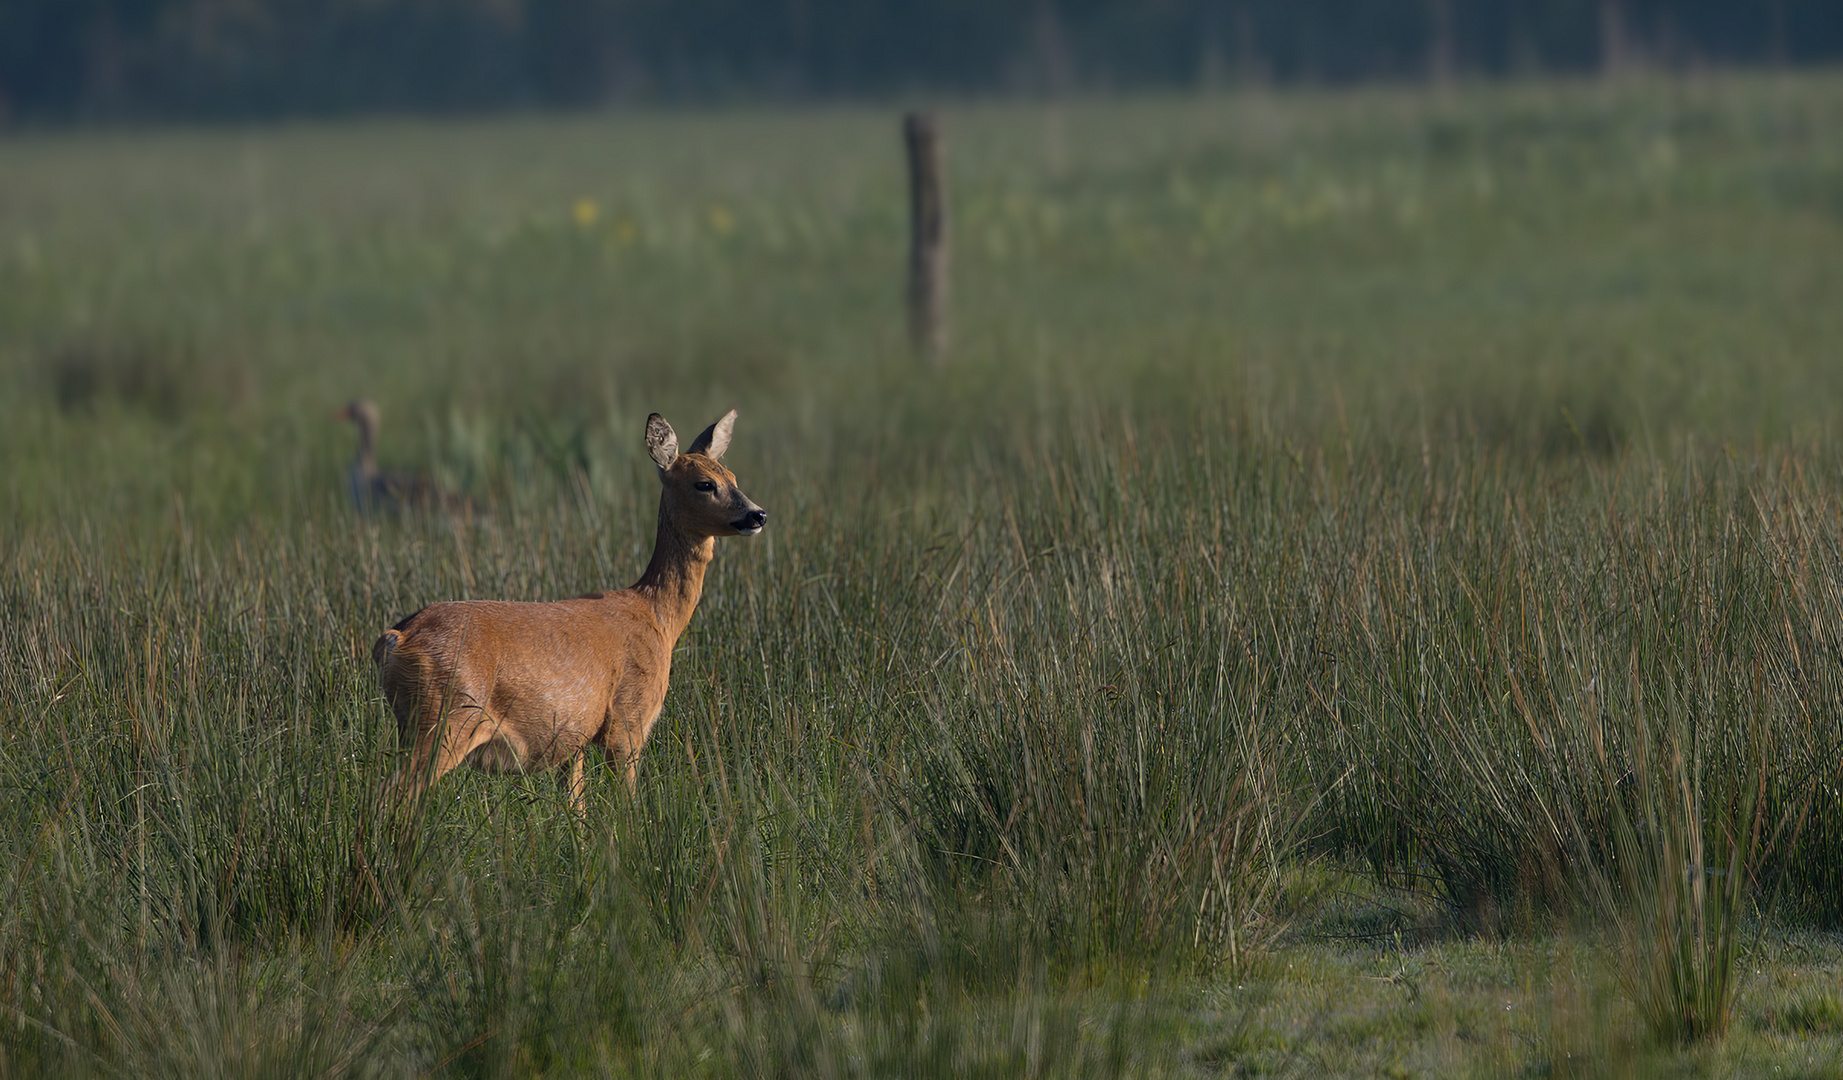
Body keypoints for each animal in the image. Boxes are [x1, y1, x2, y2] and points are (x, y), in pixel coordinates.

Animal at [370, 407, 766, 803]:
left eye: (732, 477)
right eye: (704, 484)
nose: (757, 514)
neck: (656, 615)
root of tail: (396, 638)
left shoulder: (573, 737)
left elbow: (576, 804)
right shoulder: (629, 718)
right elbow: (628, 802)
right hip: (447, 715)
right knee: (394, 793)